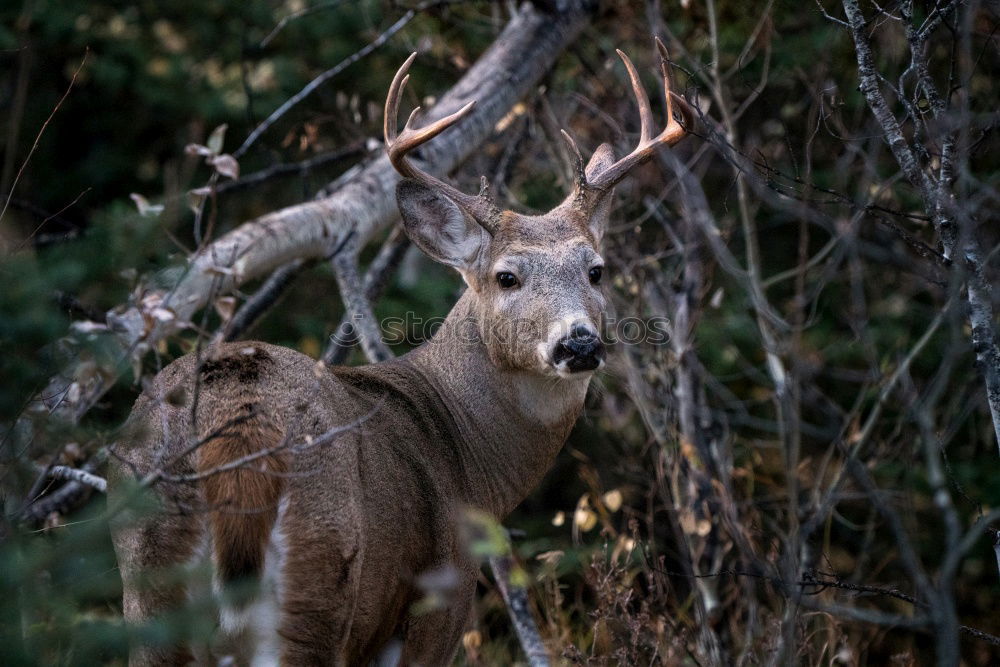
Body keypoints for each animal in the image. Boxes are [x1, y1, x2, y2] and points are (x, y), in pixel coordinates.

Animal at [107, 39, 688, 664]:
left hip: (148, 576)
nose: (578, 343)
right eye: (506, 276)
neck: (466, 456)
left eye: (596, 270)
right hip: (322, 569)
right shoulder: (440, 604)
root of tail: (240, 424)